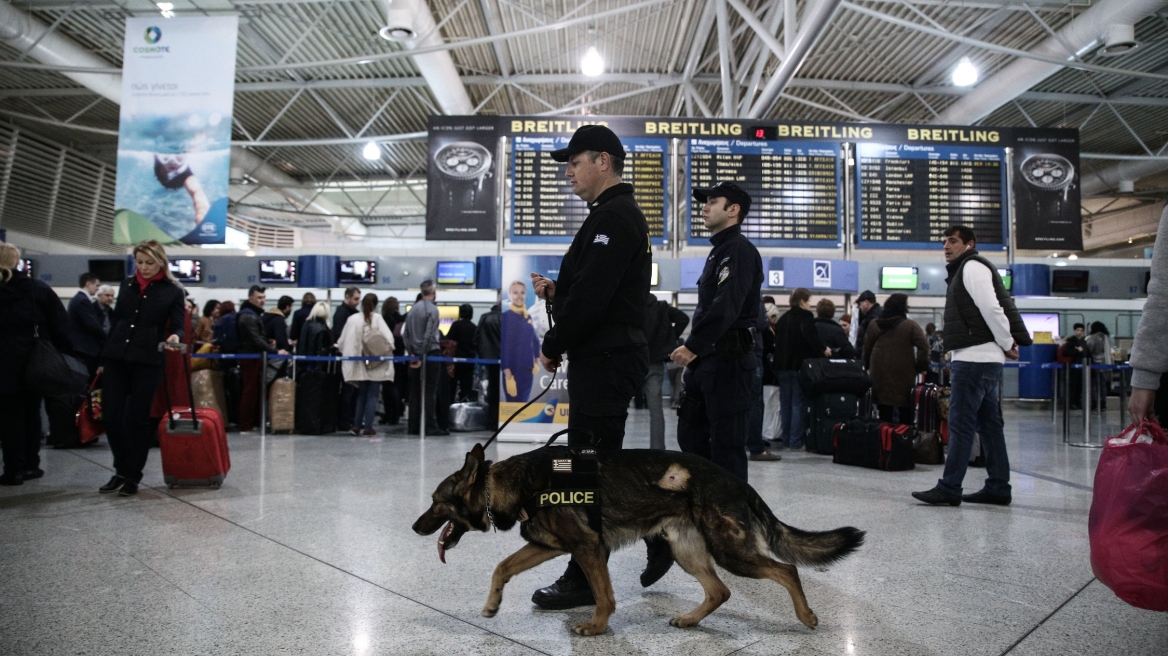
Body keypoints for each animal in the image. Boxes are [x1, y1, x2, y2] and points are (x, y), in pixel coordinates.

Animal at [411, 441, 859, 630]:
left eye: (436, 502)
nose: (414, 527)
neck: (515, 484)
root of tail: (738, 481)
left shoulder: (589, 548)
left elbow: (604, 596)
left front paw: (596, 628)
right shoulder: (547, 546)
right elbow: (502, 567)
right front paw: (492, 605)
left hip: (731, 551)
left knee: (787, 571)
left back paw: (806, 616)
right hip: (687, 550)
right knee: (720, 591)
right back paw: (691, 619)